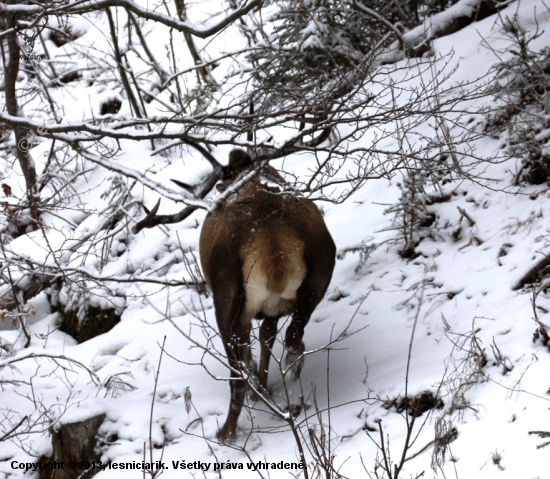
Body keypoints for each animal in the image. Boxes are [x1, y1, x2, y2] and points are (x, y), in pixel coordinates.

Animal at [132, 126, 336, 442]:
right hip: (321, 272)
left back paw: (226, 432)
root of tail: (273, 247)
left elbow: (252, 350)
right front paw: (264, 385)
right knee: (292, 334)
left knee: (237, 372)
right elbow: (267, 337)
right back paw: (292, 366)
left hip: (226, 299)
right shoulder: (273, 308)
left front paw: (257, 385)